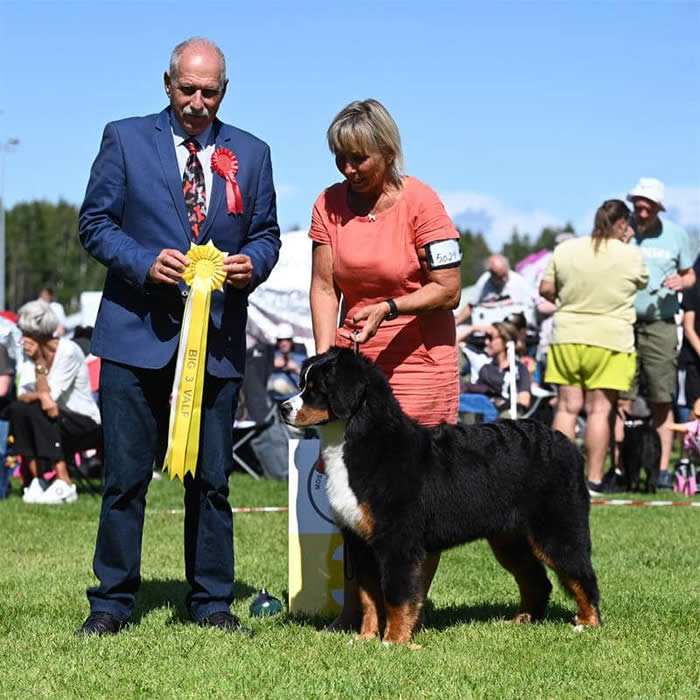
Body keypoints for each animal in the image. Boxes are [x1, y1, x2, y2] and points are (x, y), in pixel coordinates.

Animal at [278, 348, 600, 644]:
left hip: (557, 530)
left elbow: (396, 596)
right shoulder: (360, 542)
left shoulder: (397, 541)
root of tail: (564, 442)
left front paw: (393, 641)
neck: (359, 443)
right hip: (510, 539)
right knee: (537, 580)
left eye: (316, 388)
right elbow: (369, 597)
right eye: (303, 383)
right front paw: (365, 639)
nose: (283, 408)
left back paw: (587, 623)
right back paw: (521, 620)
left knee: (583, 576)